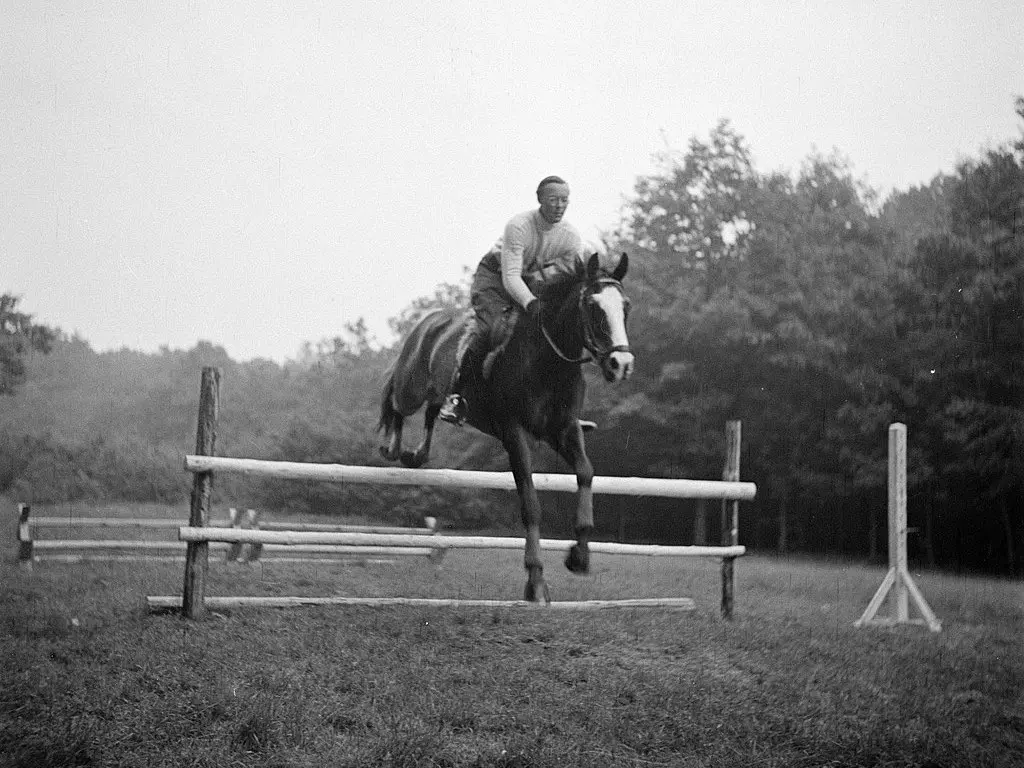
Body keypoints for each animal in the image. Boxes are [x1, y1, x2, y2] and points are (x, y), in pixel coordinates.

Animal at [376, 256, 630, 606]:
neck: (548, 363)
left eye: (626, 306)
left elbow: (585, 473)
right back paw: (392, 446)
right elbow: (531, 504)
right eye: (593, 306)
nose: (622, 364)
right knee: (397, 402)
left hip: (435, 391)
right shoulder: (514, 432)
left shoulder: (563, 430)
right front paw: (535, 580)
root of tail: (431, 319)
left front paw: (579, 556)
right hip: (411, 384)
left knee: (431, 410)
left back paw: (416, 454)